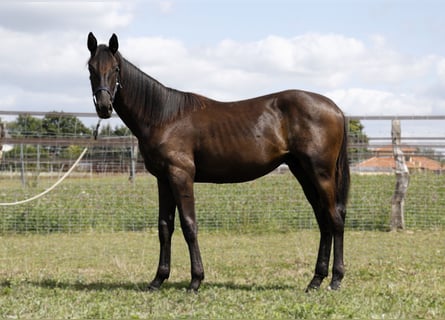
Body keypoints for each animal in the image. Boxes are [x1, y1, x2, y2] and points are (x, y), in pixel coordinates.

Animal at [87, 32, 350, 292]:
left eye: (116, 68)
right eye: (90, 68)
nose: (104, 107)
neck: (164, 117)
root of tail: (336, 109)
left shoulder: (180, 175)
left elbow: (189, 225)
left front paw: (195, 280)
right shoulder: (164, 179)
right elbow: (165, 227)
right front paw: (158, 280)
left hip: (321, 174)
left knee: (335, 220)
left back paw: (336, 279)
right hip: (303, 172)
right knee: (323, 220)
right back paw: (315, 280)